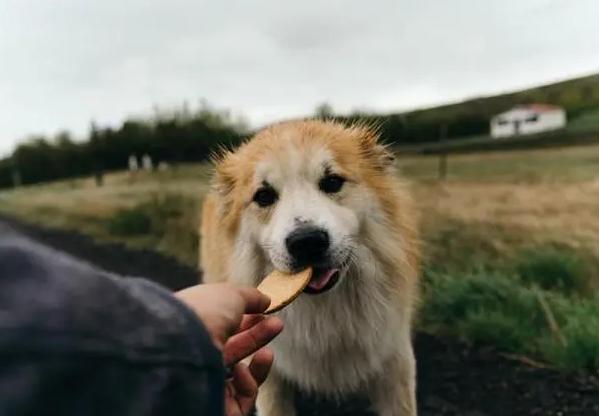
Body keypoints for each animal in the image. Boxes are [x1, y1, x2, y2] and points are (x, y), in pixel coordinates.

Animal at [199, 118, 420, 414]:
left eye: (332, 182)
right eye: (264, 196)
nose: (307, 242)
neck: (324, 310)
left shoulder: (394, 362)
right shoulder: (271, 375)